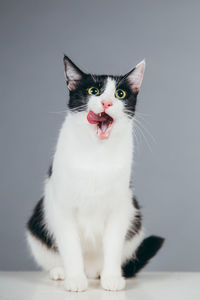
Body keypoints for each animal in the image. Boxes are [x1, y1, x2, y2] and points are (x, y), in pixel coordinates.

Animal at [26, 55, 164, 290]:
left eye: (120, 94)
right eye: (94, 91)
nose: (107, 102)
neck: (96, 155)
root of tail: (90, 270)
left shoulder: (119, 207)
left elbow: (113, 244)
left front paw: (111, 278)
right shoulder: (62, 206)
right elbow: (70, 246)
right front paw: (75, 279)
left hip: (134, 216)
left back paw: (103, 274)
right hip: (37, 224)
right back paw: (61, 272)